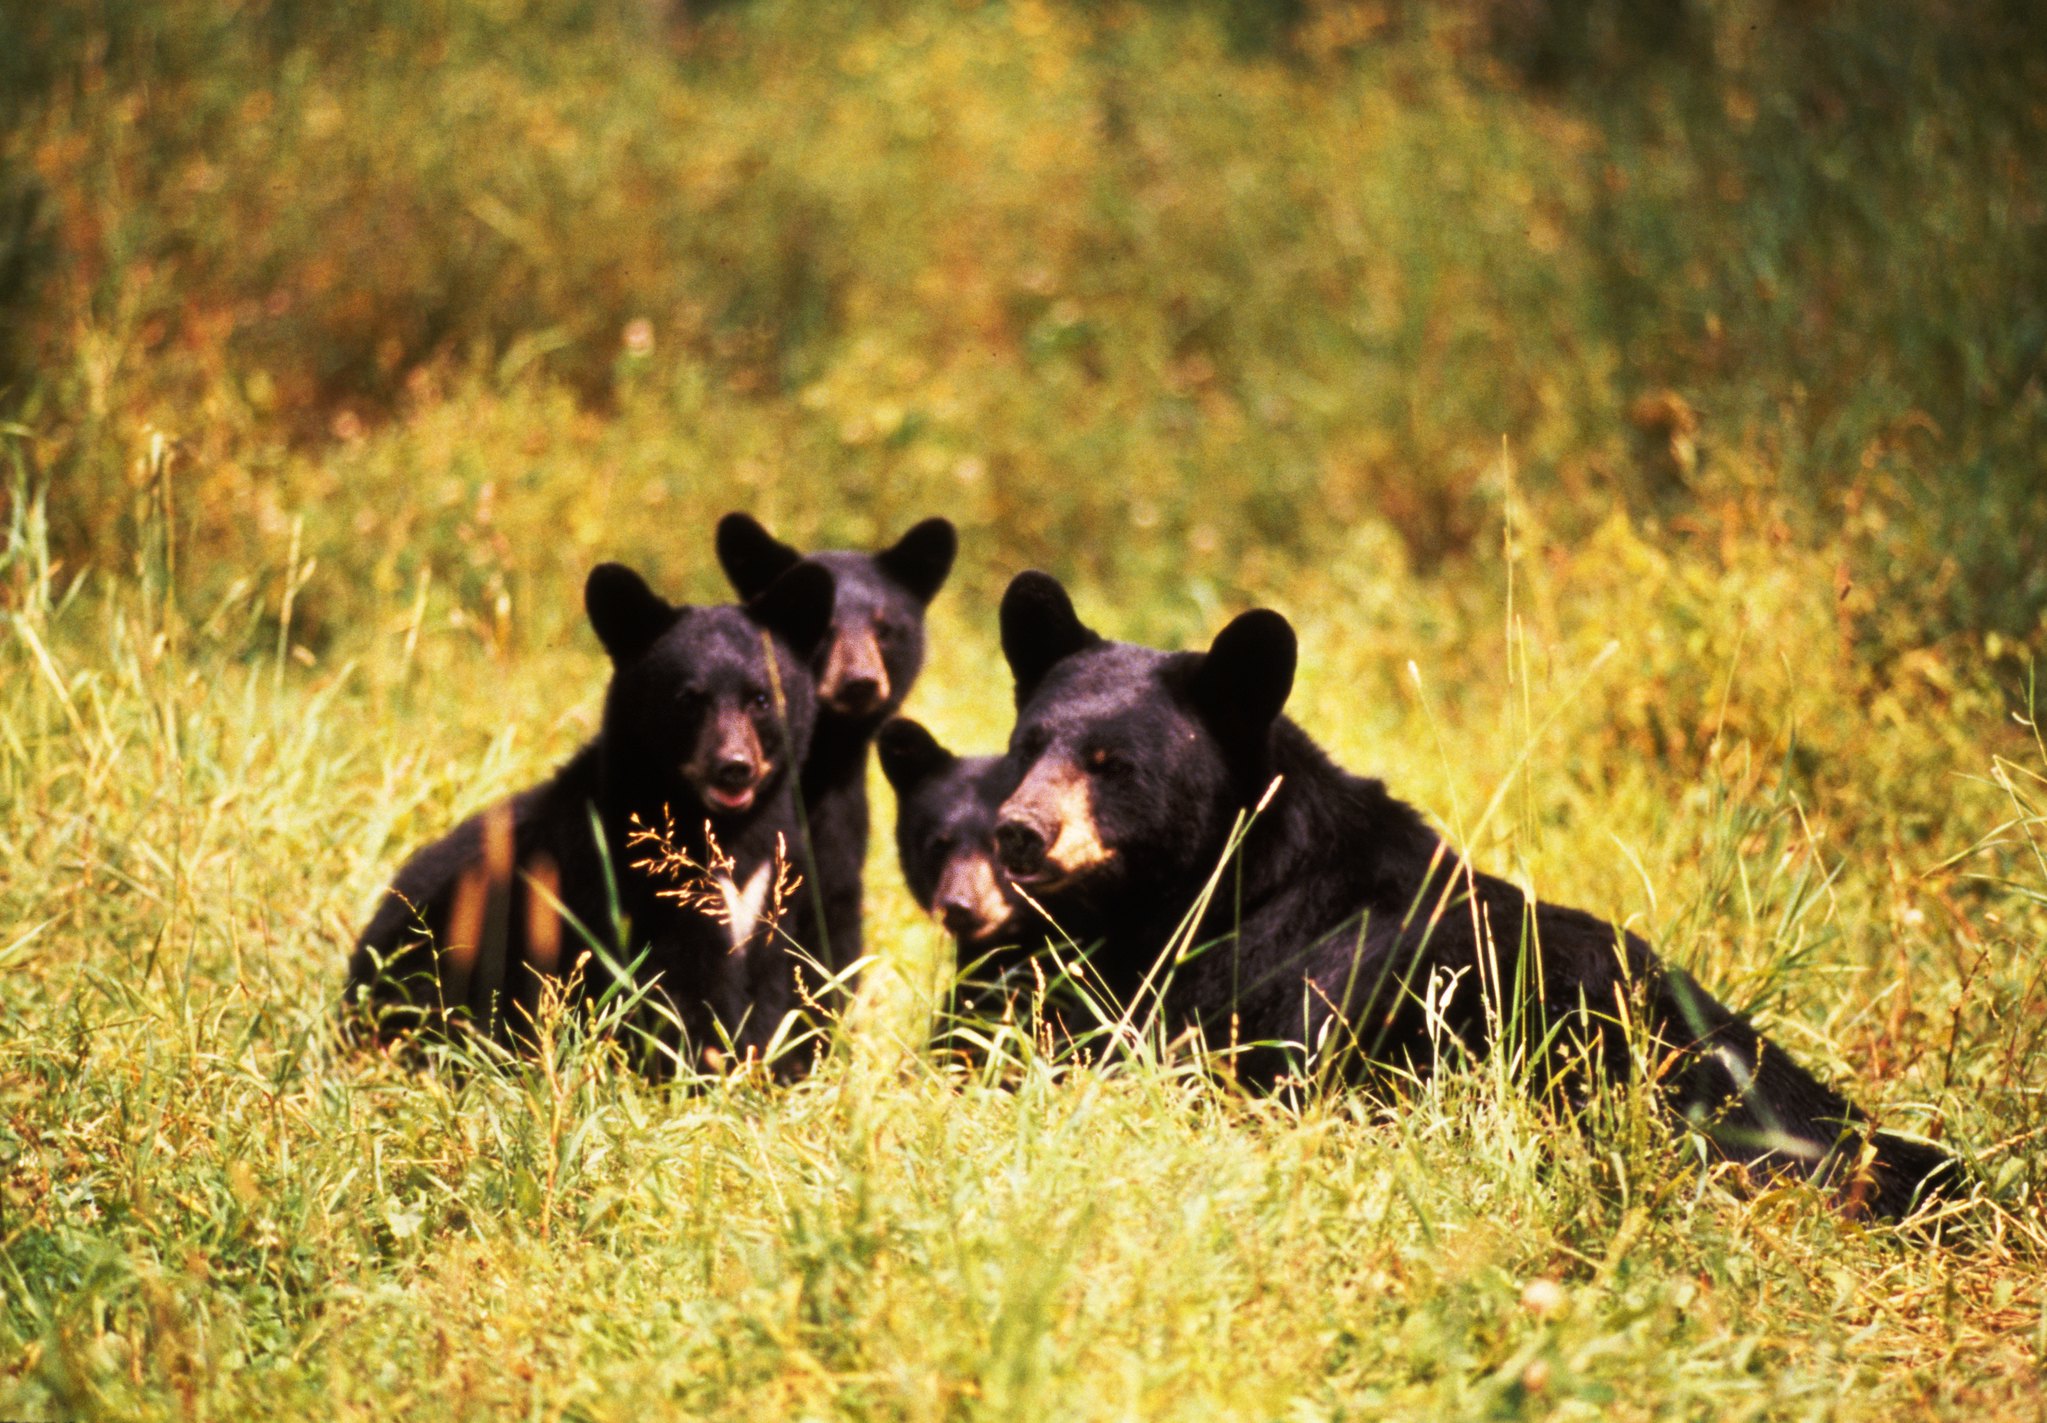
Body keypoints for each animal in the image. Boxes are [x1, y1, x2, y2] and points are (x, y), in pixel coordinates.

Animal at [347, 561, 835, 1072]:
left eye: (761, 699)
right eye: (687, 699)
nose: (734, 767)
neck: (719, 827)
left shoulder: (772, 886)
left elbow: (770, 985)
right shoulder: (624, 884)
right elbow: (680, 989)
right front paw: (702, 1066)